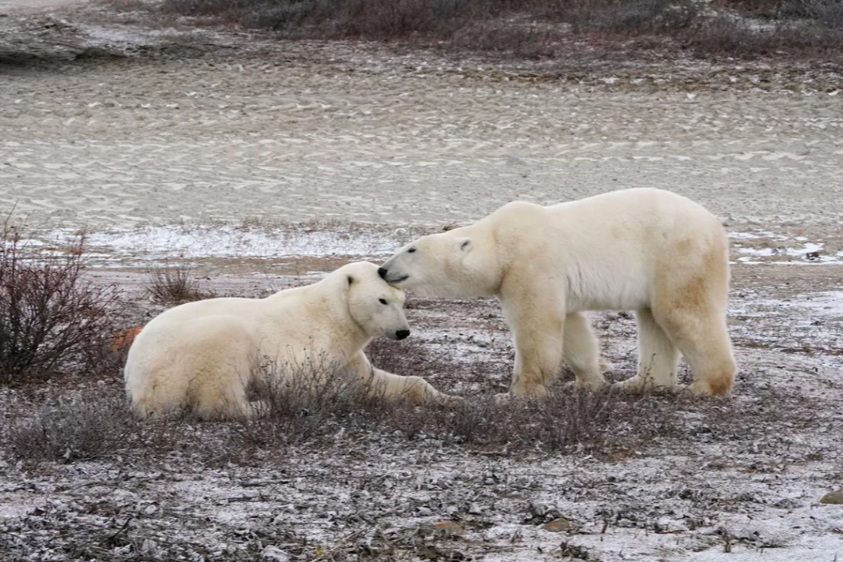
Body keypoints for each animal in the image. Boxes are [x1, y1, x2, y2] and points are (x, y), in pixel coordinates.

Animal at [124, 261, 457, 420]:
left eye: (403, 300)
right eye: (382, 300)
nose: (402, 331)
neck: (332, 315)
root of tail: (135, 381)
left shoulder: (347, 354)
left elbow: (373, 380)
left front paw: (450, 399)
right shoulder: (305, 344)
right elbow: (298, 383)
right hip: (184, 355)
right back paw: (260, 406)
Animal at [378, 188, 737, 398]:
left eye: (411, 249)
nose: (382, 270)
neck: (500, 242)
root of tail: (714, 225)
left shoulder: (530, 265)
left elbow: (536, 326)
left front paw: (519, 392)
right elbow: (572, 329)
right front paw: (588, 381)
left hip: (676, 254)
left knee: (682, 313)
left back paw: (705, 386)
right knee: (652, 319)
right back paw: (640, 382)